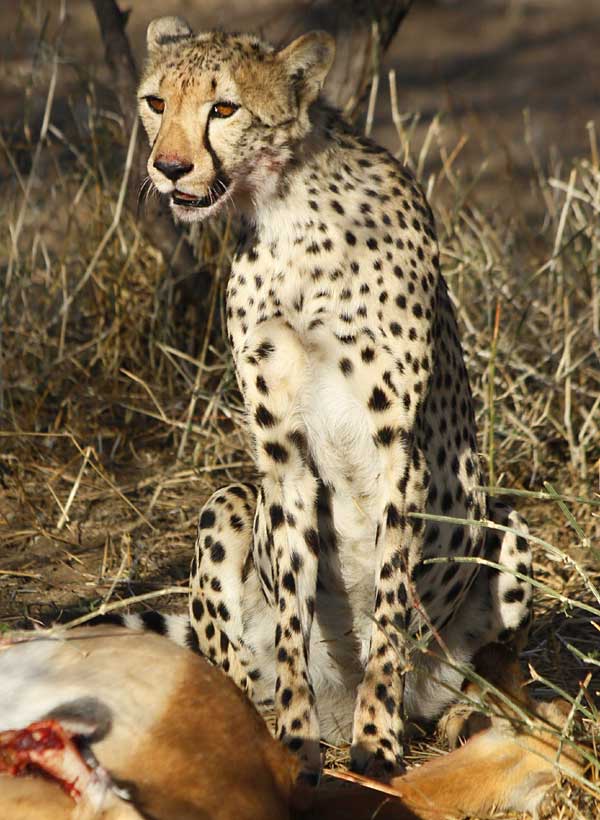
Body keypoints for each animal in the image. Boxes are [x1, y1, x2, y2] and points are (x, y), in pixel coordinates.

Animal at [135, 17, 536, 776]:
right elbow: (295, 611)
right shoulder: (283, 457)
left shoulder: (398, 454)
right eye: (155, 102)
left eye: (223, 108)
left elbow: (388, 611)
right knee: (234, 667)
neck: (288, 211)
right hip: (229, 502)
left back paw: (459, 718)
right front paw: (297, 743)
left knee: (487, 667)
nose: (169, 167)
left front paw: (375, 741)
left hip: (507, 525)